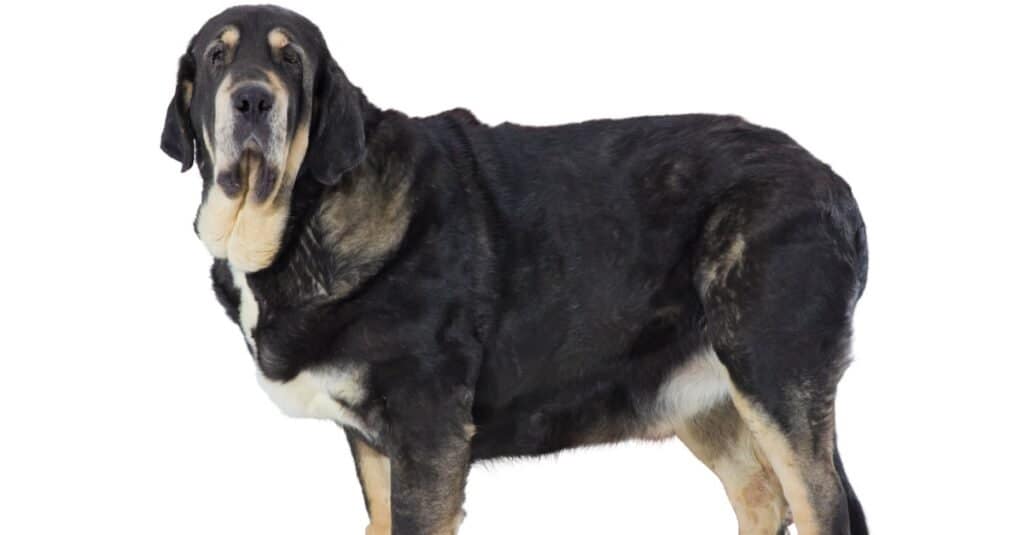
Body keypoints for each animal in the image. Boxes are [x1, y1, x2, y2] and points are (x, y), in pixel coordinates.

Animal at [161, 5, 872, 532]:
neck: (300, 216)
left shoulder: (428, 431)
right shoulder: (374, 447)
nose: (252, 101)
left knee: (821, 507)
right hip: (709, 402)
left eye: (291, 60)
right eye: (219, 56)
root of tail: (835, 186)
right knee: (762, 500)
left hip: (773, 376)